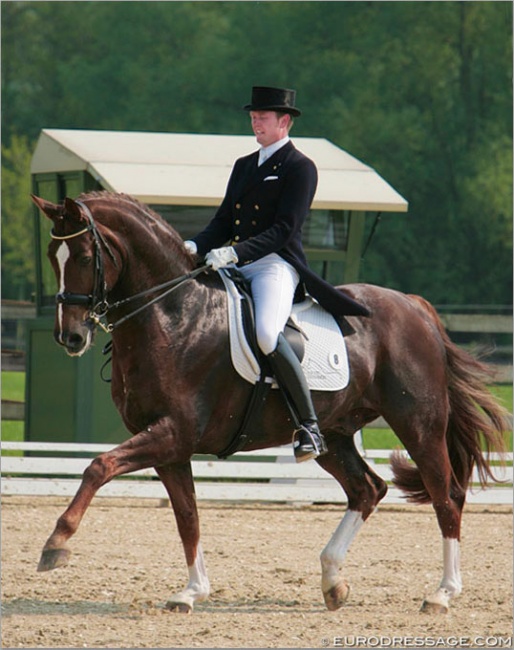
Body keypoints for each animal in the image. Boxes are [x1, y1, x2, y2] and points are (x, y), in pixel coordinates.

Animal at [32, 191, 508, 612]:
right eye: (53, 258)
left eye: (85, 258)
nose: (70, 337)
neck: (173, 314)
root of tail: (413, 306)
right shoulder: (171, 445)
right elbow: (187, 516)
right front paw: (192, 592)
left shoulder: (173, 433)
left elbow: (99, 466)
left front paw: (56, 544)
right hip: (334, 434)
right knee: (367, 489)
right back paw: (333, 582)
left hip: (418, 423)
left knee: (446, 496)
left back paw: (442, 594)